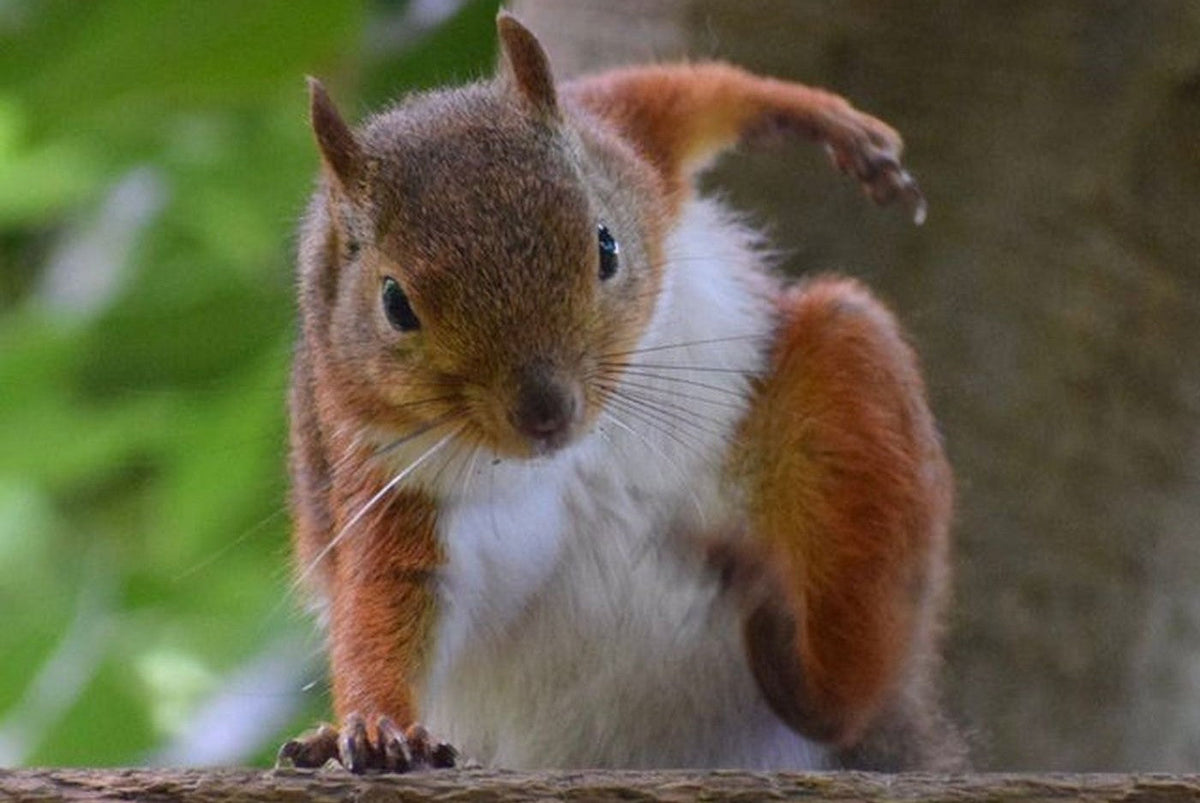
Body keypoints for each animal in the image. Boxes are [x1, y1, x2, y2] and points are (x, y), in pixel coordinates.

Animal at [278, 12, 963, 773]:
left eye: (605, 246)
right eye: (395, 304)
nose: (546, 412)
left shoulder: (622, 143)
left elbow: (678, 95)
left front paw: (820, 117)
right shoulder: (386, 476)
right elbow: (387, 598)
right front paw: (376, 725)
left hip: (850, 388)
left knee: (848, 683)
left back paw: (803, 660)